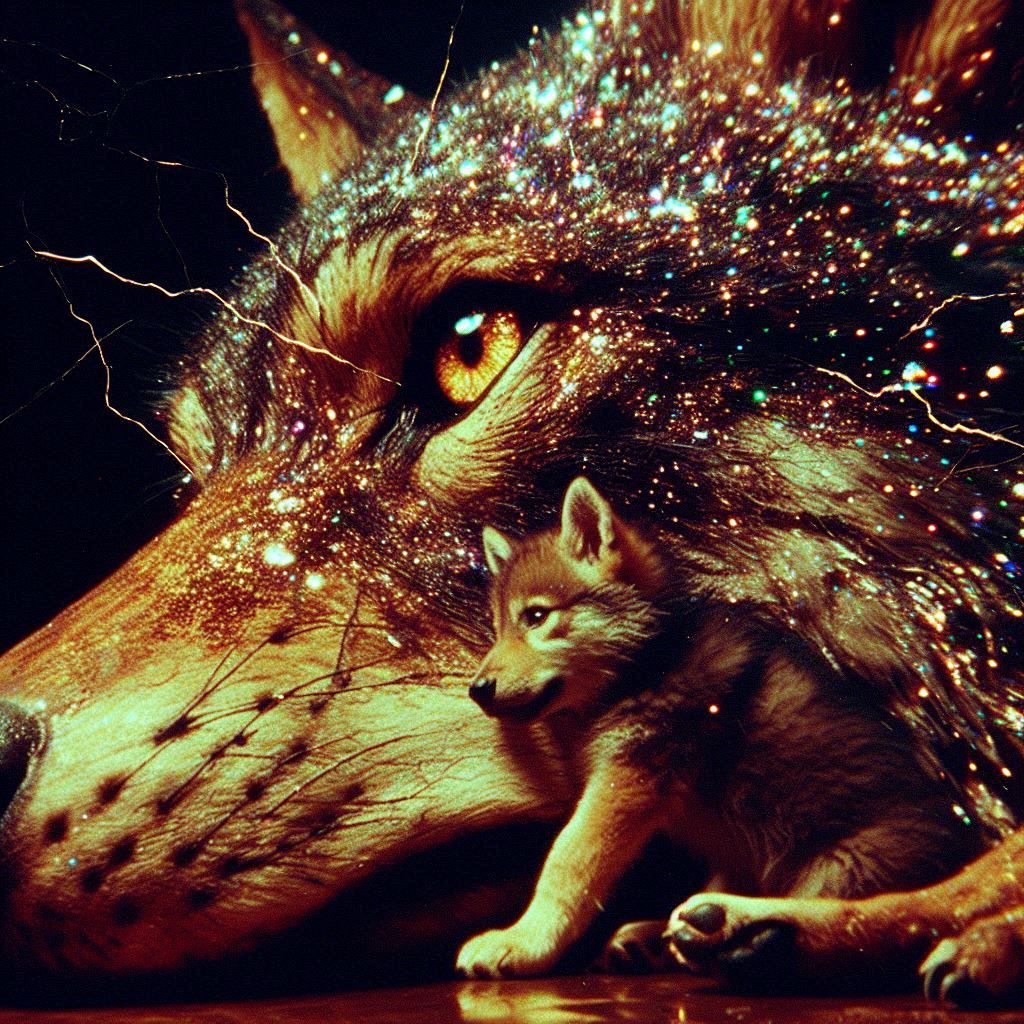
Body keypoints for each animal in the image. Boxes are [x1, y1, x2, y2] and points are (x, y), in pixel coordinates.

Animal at [457, 476, 971, 978]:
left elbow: (567, 861)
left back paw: (734, 932)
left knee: (869, 919)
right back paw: (664, 935)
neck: (650, 659)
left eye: (537, 616)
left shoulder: (630, 777)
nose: (477, 689)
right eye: (498, 627)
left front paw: (524, 941)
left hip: (839, 867)